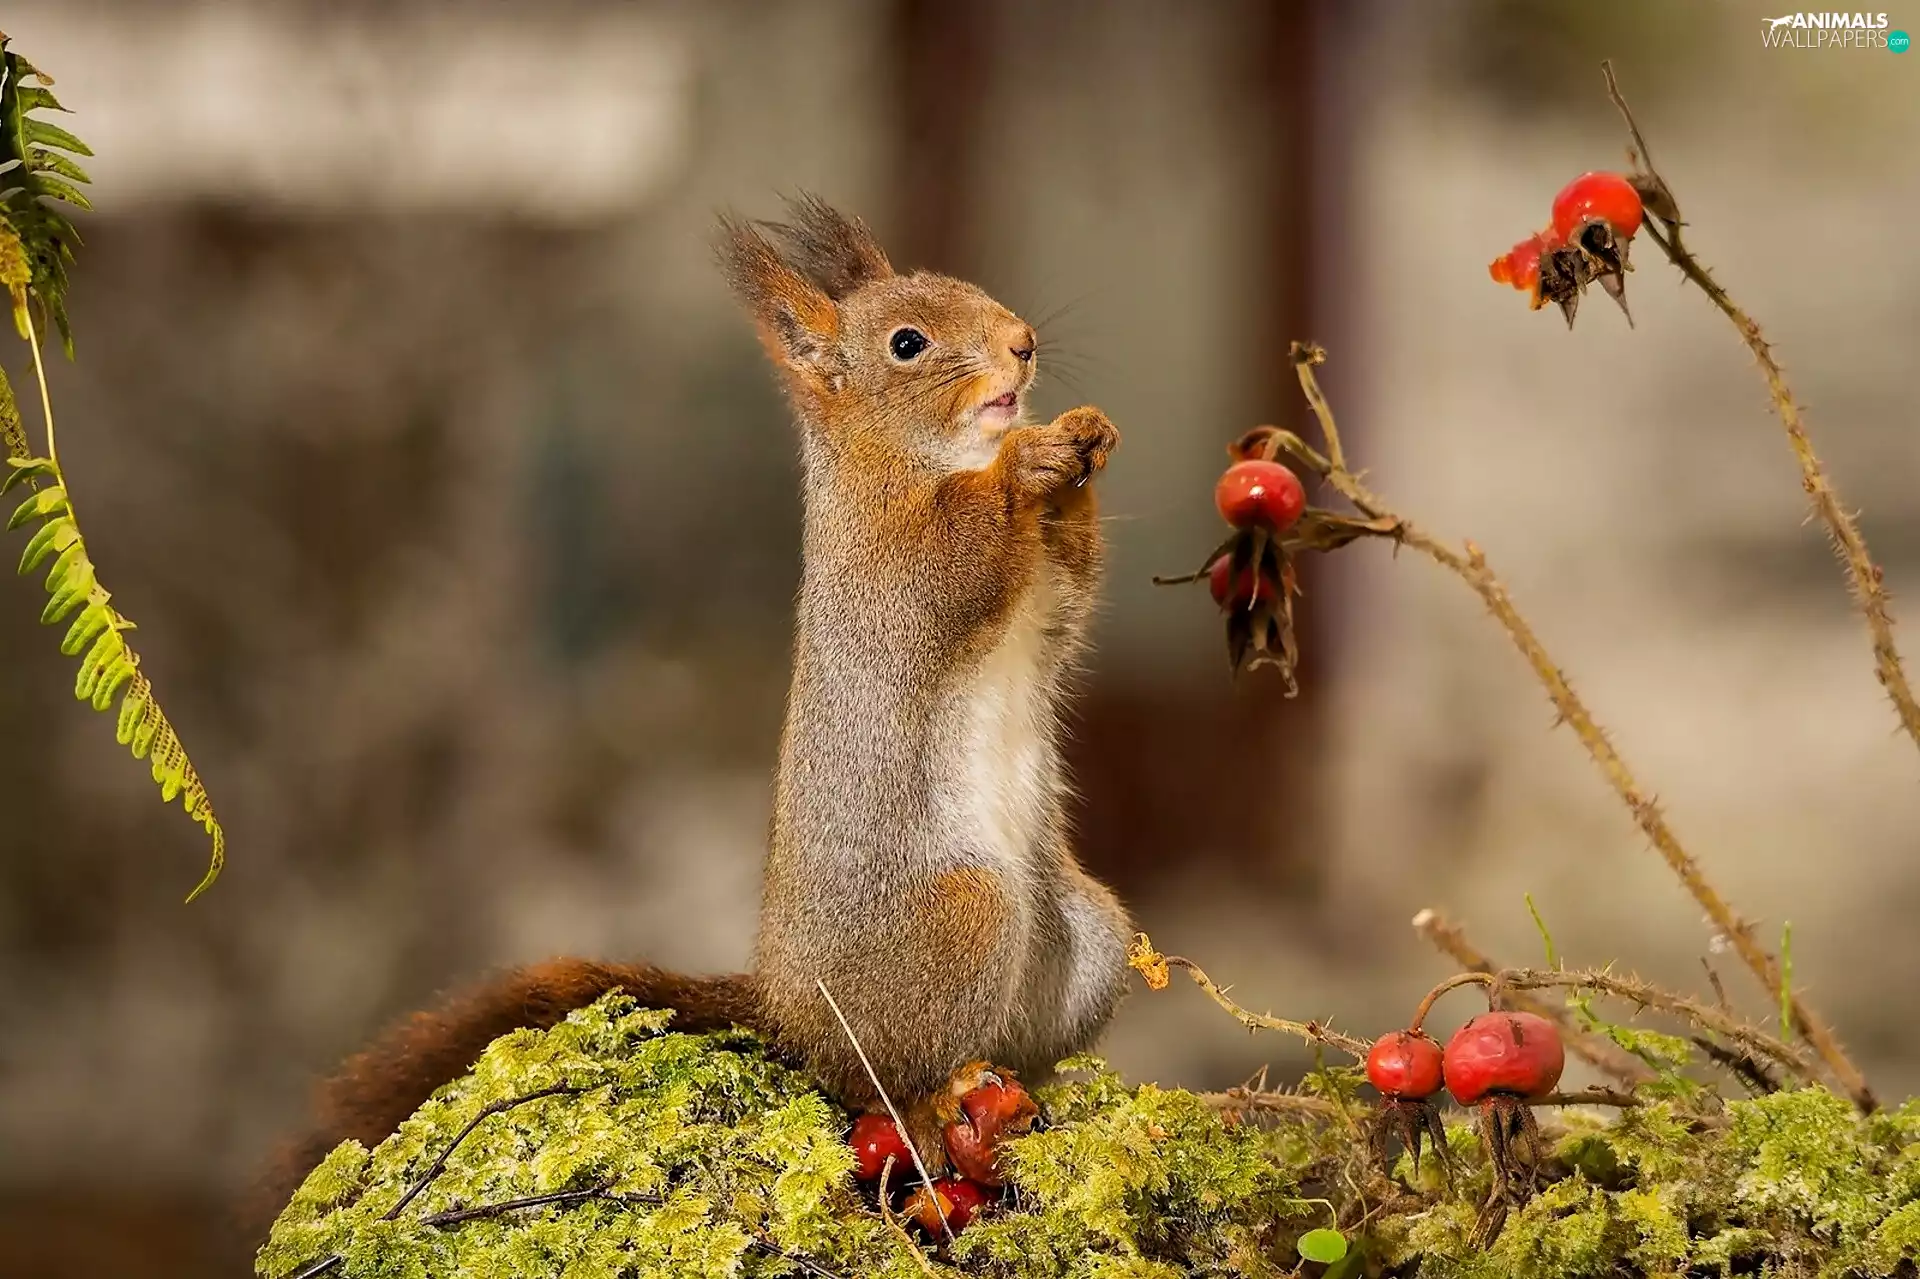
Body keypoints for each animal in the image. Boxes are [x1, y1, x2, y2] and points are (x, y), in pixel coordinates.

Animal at [258, 195, 1134, 1223]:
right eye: (907, 343)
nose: (1023, 343)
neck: (920, 457)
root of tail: (787, 1006)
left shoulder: (1048, 600)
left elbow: (1071, 588)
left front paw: (1083, 436)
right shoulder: (891, 569)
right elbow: (959, 554)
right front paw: (1029, 460)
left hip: (1087, 940)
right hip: (958, 920)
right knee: (874, 1074)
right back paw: (931, 1101)